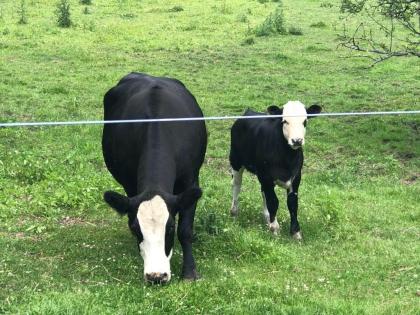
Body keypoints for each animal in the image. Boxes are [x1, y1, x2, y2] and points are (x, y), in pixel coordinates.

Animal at [101, 73, 207, 284]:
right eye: (135, 227)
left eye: (170, 226)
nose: (156, 276)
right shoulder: (130, 185)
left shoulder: (190, 181)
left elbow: (185, 230)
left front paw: (189, 272)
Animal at [230, 102, 322, 241]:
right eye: (285, 121)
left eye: (305, 121)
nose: (297, 140)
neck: (287, 159)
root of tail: (249, 112)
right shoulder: (266, 177)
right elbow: (273, 201)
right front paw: (274, 228)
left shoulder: (296, 177)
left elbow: (292, 203)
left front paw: (295, 232)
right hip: (235, 161)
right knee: (237, 185)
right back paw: (234, 211)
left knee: (263, 192)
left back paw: (267, 216)